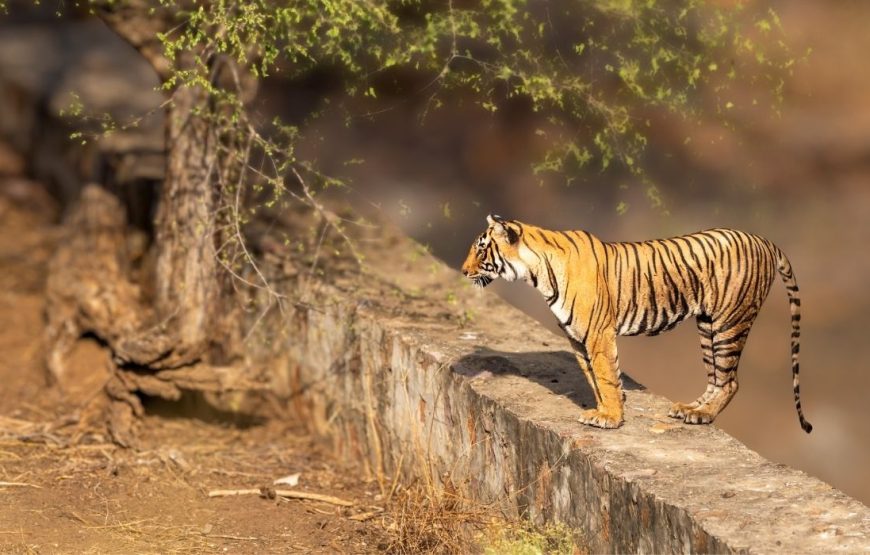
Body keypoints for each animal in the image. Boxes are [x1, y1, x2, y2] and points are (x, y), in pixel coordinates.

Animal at [461, 214, 812, 433]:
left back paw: (701, 414)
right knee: (716, 377)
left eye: (481, 250)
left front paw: (610, 418)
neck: (537, 273)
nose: (464, 271)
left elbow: (604, 375)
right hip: (707, 324)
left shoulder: (597, 334)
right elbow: (596, 378)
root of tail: (764, 240)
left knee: (730, 381)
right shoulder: (577, 337)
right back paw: (689, 409)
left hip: (730, 321)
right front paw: (609, 409)